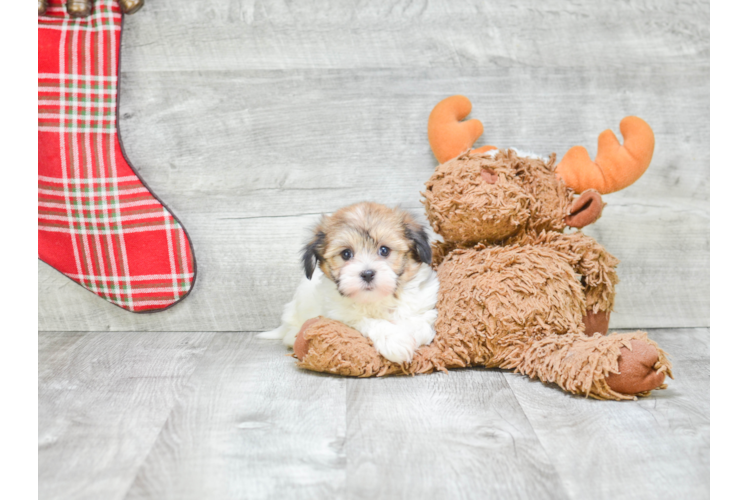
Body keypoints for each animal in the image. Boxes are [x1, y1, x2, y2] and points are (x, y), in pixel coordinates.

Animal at [260, 202, 442, 364]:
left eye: (384, 250)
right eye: (346, 254)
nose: (367, 274)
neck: (377, 300)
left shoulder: (425, 305)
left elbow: (420, 324)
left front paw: (407, 330)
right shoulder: (341, 316)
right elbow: (369, 321)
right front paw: (394, 339)